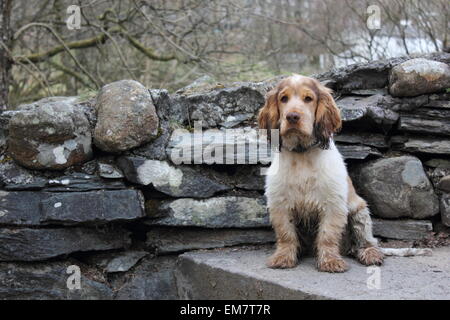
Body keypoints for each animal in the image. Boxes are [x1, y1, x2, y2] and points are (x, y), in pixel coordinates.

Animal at [256, 75, 384, 272]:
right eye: (283, 98)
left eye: (308, 98)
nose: (292, 116)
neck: (302, 153)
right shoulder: (280, 204)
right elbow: (286, 235)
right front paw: (283, 257)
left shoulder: (333, 204)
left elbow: (327, 236)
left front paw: (330, 261)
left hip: (359, 211)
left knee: (366, 241)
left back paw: (370, 254)